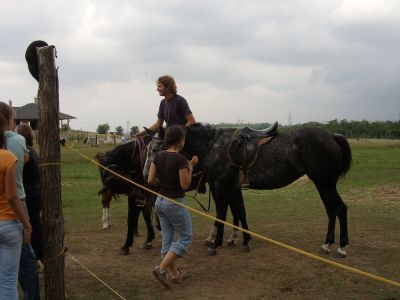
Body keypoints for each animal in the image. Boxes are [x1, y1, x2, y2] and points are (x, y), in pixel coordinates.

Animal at [155, 123, 352, 256]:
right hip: (324, 185)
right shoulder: (233, 188)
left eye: (161, 145)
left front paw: (215, 244)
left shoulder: (221, 186)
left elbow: (222, 214)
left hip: (325, 184)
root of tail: (333, 136)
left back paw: (341, 247)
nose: (154, 176)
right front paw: (243, 241)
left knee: (340, 209)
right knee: (332, 211)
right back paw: (328, 244)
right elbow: (240, 212)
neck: (213, 146)